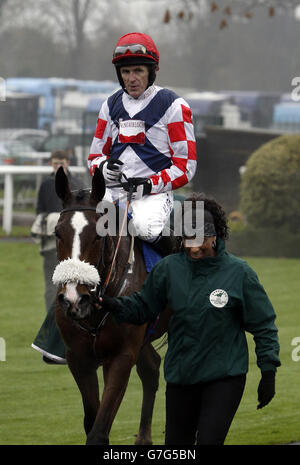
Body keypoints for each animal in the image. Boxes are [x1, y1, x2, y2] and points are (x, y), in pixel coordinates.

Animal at [51, 165, 169, 444]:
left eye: (98, 235)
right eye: (57, 232)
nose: (73, 299)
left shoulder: (121, 355)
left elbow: (99, 429)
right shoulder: (79, 358)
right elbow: (91, 420)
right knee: (151, 369)